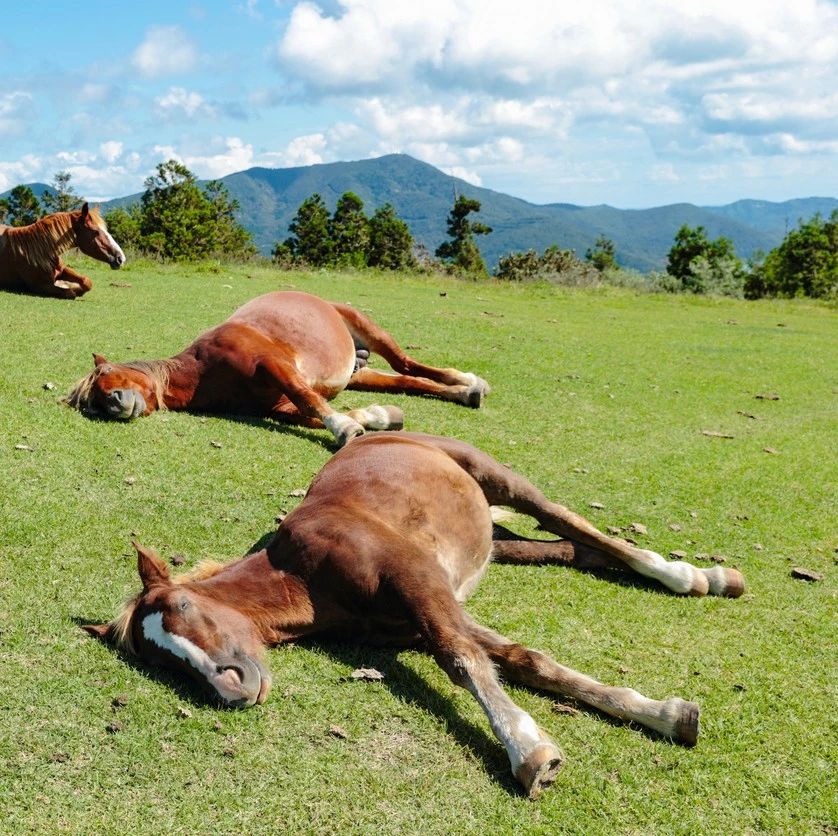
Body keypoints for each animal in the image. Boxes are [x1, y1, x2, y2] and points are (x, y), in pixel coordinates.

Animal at [69, 292, 496, 448]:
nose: (112, 404)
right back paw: (464, 391)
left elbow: (308, 399)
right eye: (91, 404)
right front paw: (377, 417)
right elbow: (307, 411)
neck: (203, 370)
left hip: (367, 328)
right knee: (408, 379)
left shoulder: (274, 366)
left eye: (105, 377)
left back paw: (466, 381)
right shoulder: (274, 406)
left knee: (407, 364)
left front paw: (345, 428)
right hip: (357, 374)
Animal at [82, 432, 744, 796]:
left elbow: (464, 661)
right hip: (489, 539)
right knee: (567, 548)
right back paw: (708, 578)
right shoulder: (416, 619)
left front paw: (530, 753)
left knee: (576, 526)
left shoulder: (420, 584)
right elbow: (521, 659)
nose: (232, 688)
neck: (305, 573)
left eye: (184, 605)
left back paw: (691, 576)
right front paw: (666, 714)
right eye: (164, 664)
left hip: (500, 480)